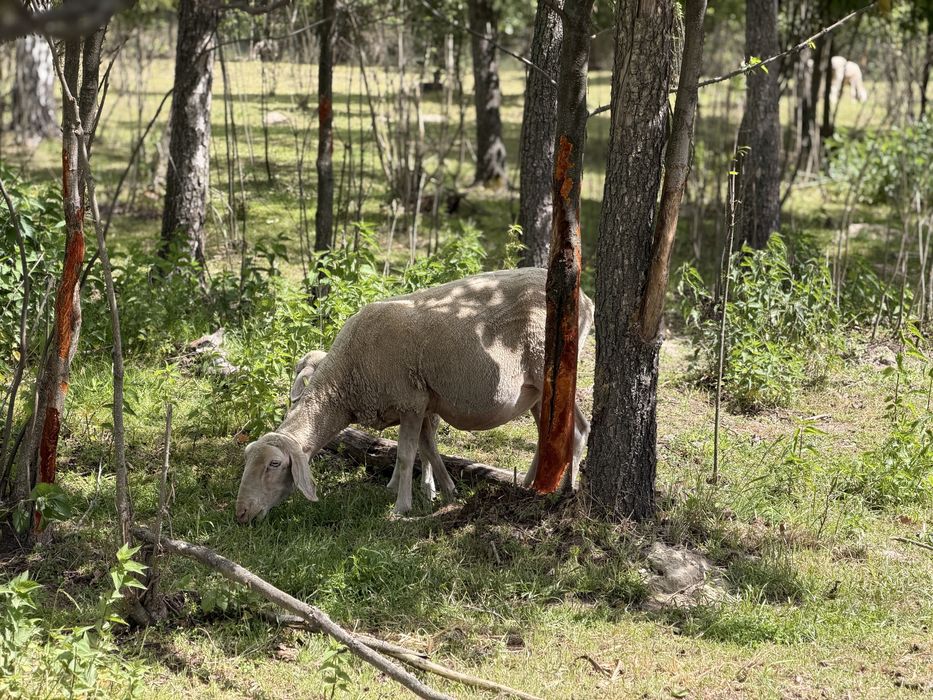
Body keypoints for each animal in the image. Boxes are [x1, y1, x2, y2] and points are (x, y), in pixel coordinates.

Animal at [235, 268, 594, 522]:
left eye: (274, 464)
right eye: (247, 459)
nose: (240, 514)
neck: (348, 376)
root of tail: (585, 300)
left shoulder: (411, 401)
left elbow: (408, 454)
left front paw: (402, 506)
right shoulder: (421, 401)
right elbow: (426, 448)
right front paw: (440, 491)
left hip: (551, 370)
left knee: (577, 430)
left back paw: (565, 492)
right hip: (535, 390)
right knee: (548, 434)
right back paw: (530, 488)